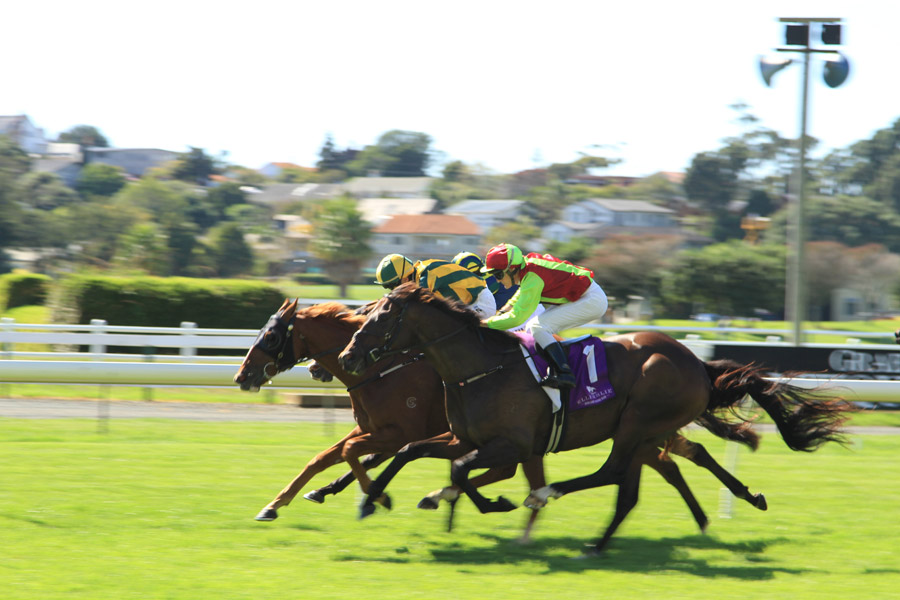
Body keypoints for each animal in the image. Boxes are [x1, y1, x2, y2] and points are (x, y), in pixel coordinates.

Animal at [338, 284, 852, 552]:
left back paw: (547, 497)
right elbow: (411, 451)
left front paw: (494, 503)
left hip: (638, 423)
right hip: (649, 431)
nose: (348, 356)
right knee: (646, 479)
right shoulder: (463, 437)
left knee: (615, 472)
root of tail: (696, 363)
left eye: (378, 318)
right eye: (362, 314)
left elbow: (463, 472)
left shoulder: (510, 443)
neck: (478, 368)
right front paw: (372, 500)